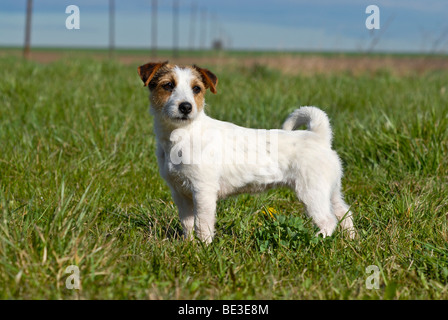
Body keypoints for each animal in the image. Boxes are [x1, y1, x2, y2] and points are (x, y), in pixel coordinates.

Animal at [138, 61, 356, 244]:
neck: (183, 134)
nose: (186, 107)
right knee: (344, 213)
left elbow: (203, 224)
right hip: (330, 190)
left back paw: (316, 241)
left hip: (312, 193)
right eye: (168, 85)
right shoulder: (179, 193)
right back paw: (352, 240)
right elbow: (188, 223)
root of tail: (319, 136)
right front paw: (188, 245)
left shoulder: (203, 190)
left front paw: (204, 248)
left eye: (196, 88)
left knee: (328, 220)